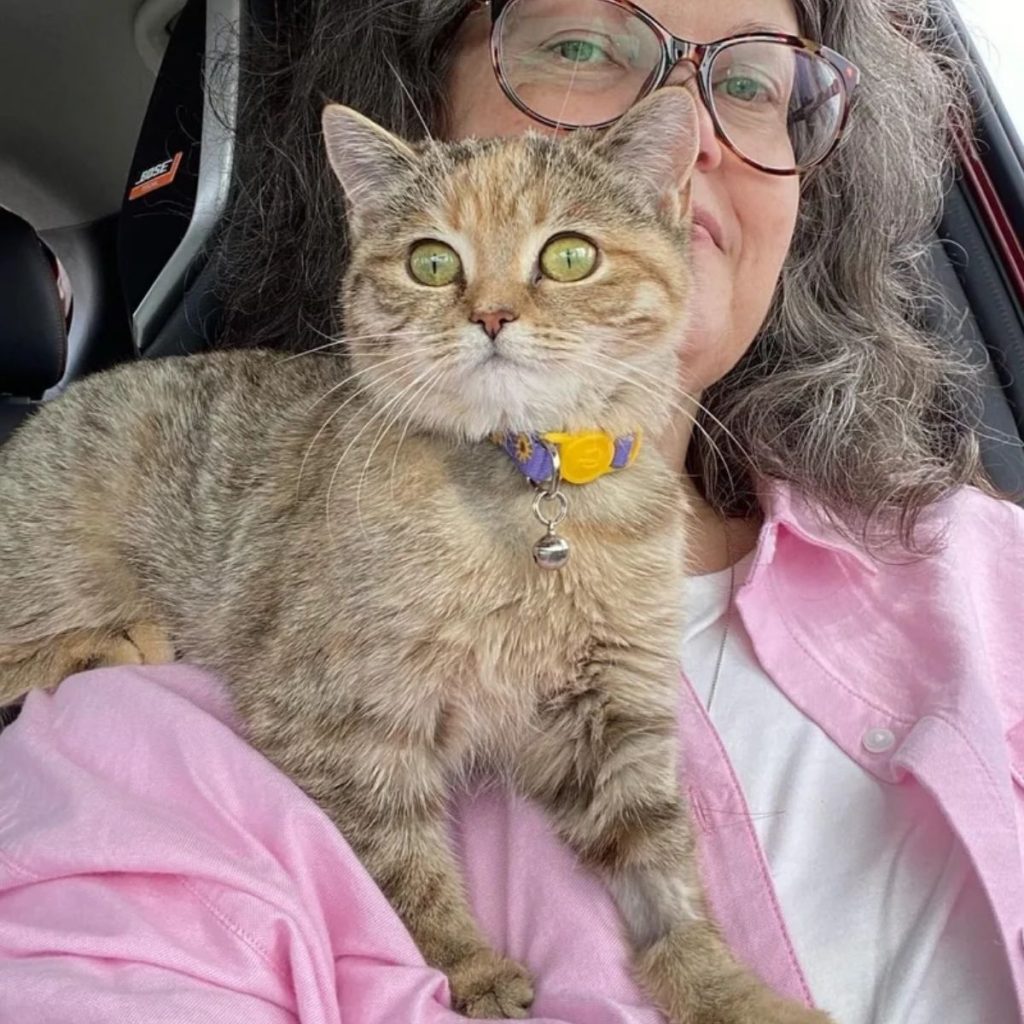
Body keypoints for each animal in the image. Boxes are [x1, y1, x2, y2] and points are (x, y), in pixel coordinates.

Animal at [0, 90, 831, 1024]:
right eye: (432, 263)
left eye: (570, 255)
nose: (493, 315)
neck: (531, 492)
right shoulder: (337, 718)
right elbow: (403, 864)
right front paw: (472, 964)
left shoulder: (613, 715)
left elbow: (665, 872)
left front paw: (730, 988)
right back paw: (111, 642)